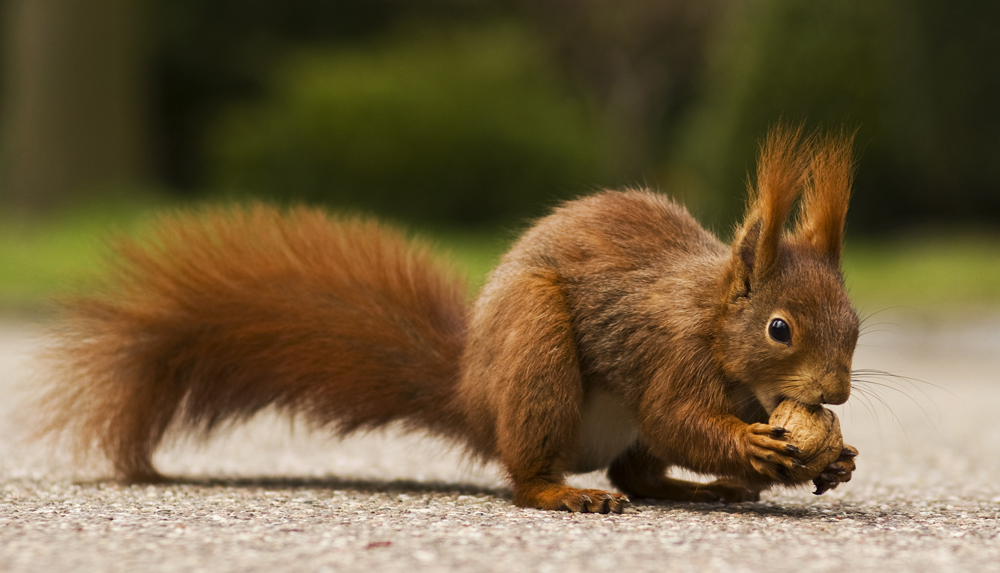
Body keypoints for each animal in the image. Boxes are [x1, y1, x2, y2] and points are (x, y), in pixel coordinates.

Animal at [31, 125, 860, 512]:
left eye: (855, 322)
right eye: (780, 328)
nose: (838, 395)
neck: (715, 323)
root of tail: (474, 395)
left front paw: (835, 458)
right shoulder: (671, 354)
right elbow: (676, 416)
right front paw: (756, 447)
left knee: (639, 468)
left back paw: (699, 488)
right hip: (538, 350)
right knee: (542, 470)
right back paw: (566, 491)